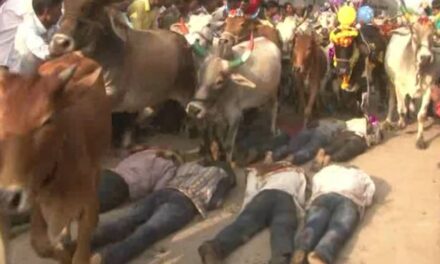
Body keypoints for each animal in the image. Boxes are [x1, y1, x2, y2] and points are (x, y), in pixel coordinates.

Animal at [0, 52, 111, 264]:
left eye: (48, 120)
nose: (8, 197)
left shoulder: (86, 202)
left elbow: (80, 253)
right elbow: (41, 244)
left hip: (98, 166)